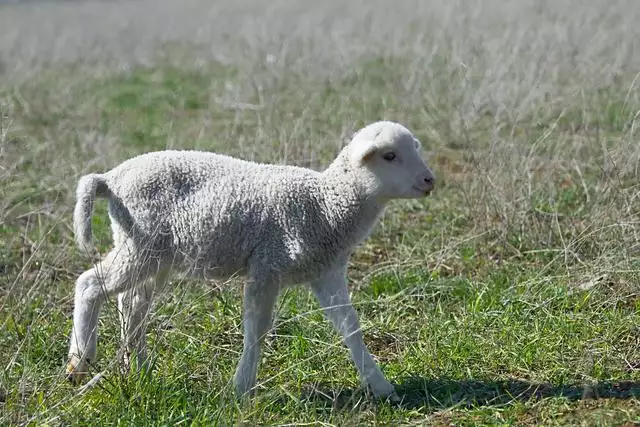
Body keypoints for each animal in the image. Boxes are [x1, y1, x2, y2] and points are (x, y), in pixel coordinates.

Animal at [65, 120, 436, 402]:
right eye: (389, 155)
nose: (430, 180)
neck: (325, 204)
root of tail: (110, 178)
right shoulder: (266, 266)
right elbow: (256, 327)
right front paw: (243, 387)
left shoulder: (326, 271)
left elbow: (350, 326)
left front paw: (381, 386)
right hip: (139, 244)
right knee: (90, 284)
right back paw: (79, 362)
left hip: (152, 253)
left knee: (132, 304)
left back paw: (138, 368)